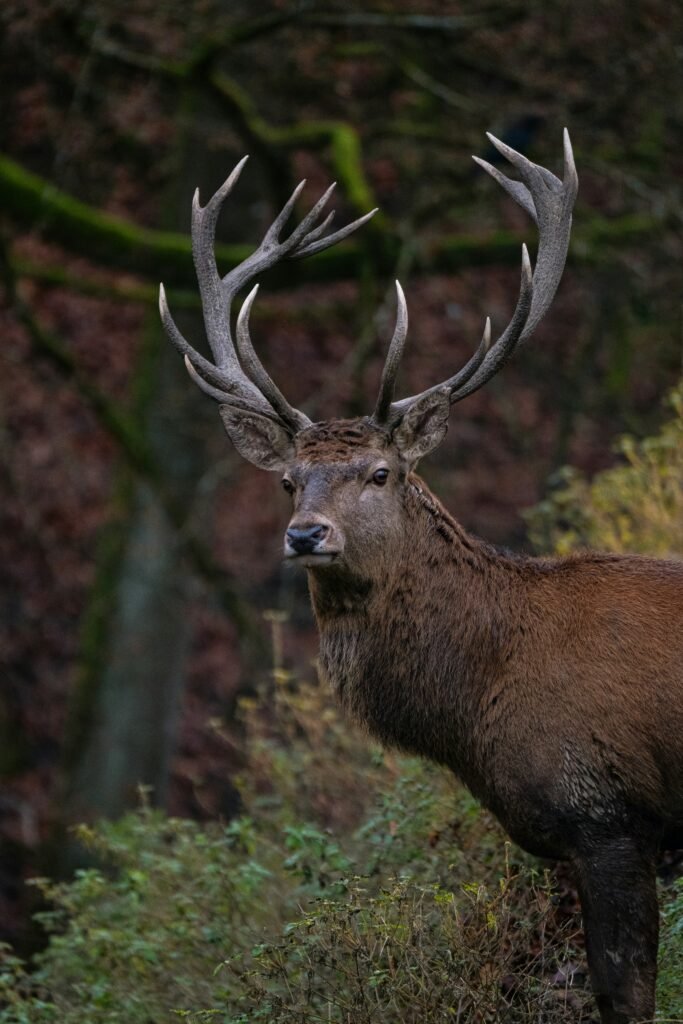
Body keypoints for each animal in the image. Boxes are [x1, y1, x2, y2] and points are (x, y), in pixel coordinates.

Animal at [159, 131, 683, 1024]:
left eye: (378, 473)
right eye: (287, 481)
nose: (305, 535)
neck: (480, 697)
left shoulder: (608, 817)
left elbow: (624, 994)